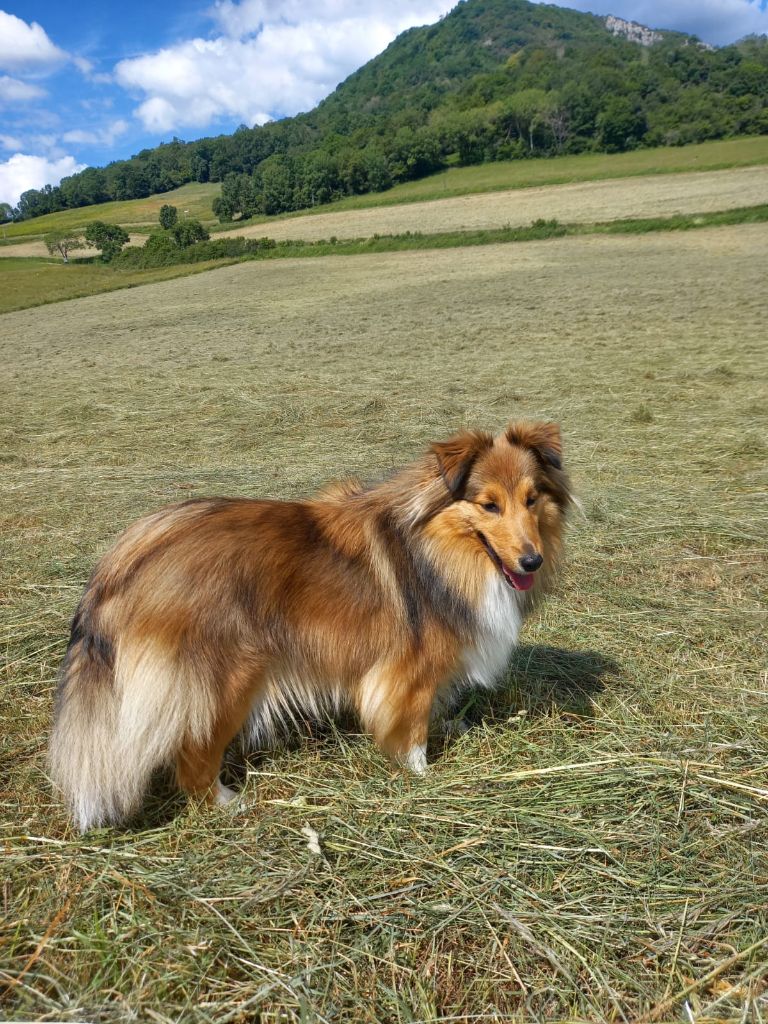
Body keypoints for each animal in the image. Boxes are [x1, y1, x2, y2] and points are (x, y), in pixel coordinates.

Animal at [49, 419, 573, 827]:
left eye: (532, 499)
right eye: (488, 505)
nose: (531, 561)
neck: (437, 549)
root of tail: (126, 554)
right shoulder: (408, 670)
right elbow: (412, 726)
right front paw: (422, 774)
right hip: (227, 679)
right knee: (193, 755)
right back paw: (229, 804)